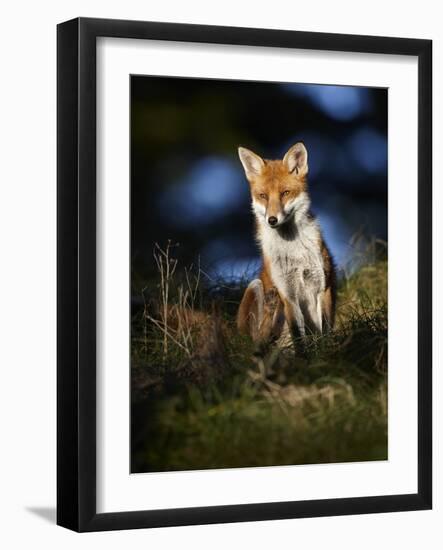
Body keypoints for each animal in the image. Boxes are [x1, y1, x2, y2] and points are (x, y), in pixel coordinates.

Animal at [239, 142, 336, 356]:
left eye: (285, 193)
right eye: (263, 196)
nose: (272, 220)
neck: (294, 250)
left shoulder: (322, 286)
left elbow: (324, 330)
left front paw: (327, 354)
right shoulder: (287, 294)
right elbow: (298, 335)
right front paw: (305, 360)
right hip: (255, 286)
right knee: (260, 342)